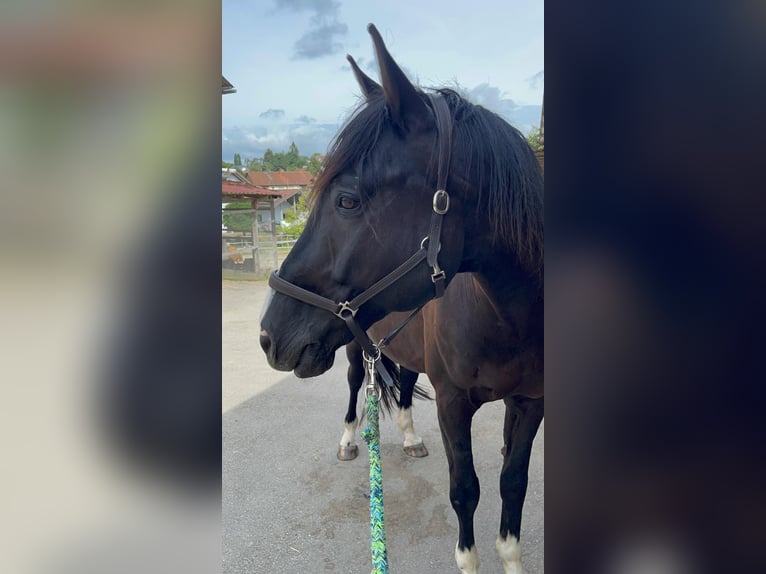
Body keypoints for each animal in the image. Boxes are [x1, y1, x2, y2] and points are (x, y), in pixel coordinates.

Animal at [260, 23, 544, 574]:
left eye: (347, 200)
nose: (269, 335)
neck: (508, 319)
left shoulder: (530, 403)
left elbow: (513, 485)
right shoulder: (453, 402)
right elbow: (465, 491)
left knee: (407, 382)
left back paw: (411, 438)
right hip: (355, 349)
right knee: (355, 388)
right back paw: (350, 442)